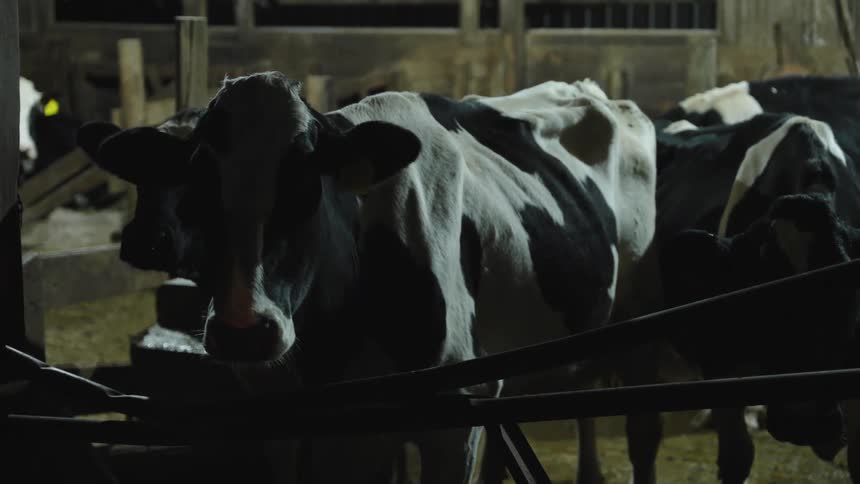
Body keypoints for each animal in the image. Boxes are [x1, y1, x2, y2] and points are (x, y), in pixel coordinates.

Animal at [78, 72, 662, 484]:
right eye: (198, 180)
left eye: (307, 182)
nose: (244, 331)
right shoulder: (284, 424)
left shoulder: (456, 417)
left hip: (637, 321)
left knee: (641, 430)